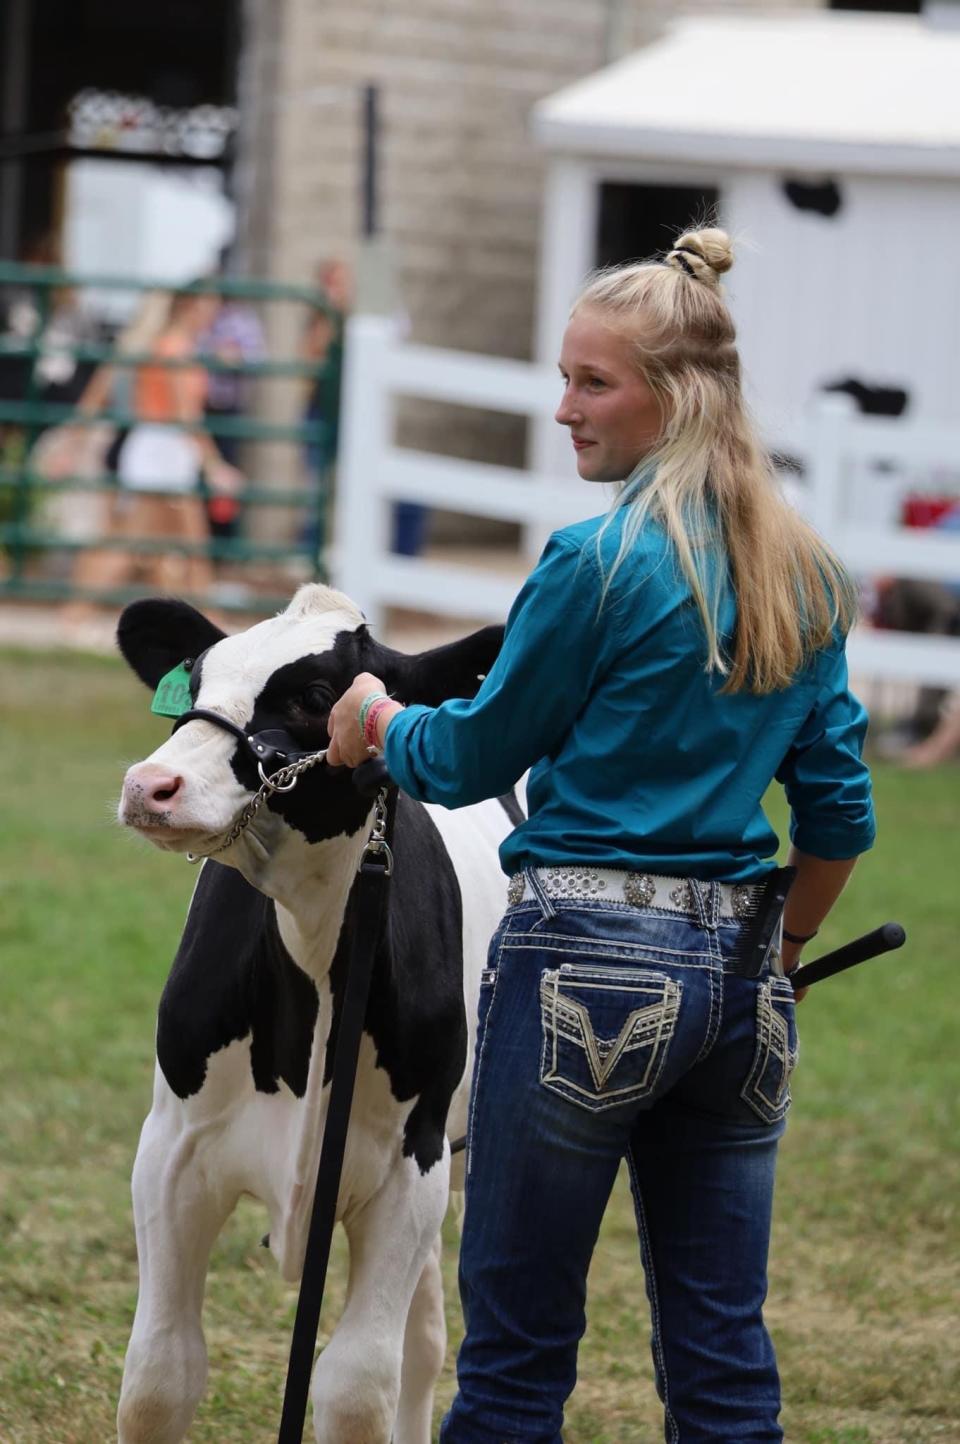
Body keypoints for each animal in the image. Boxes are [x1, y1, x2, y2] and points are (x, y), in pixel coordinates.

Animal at [113, 583, 516, 1444]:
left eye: (314, 695)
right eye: (193, 685)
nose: (150, 785)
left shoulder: (410, 1168)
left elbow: (354, 1387)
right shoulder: (172, 1149)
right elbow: (159, 1377)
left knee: (422, 1347)